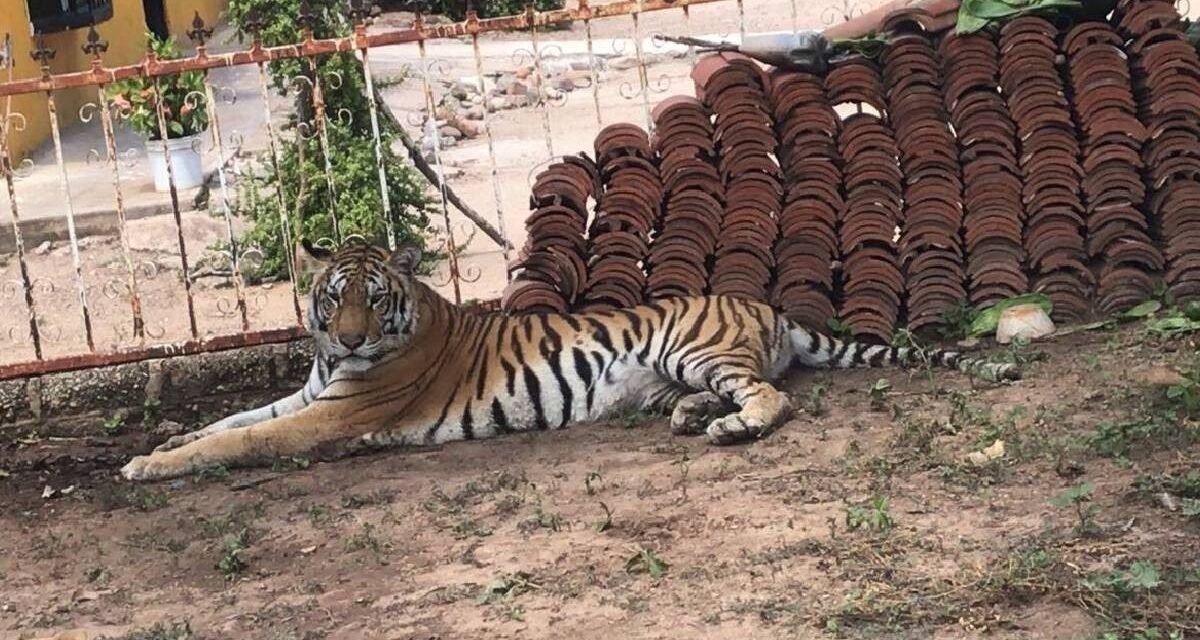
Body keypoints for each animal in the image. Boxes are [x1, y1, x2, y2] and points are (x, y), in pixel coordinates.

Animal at [117, 236, 1017, 482]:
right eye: (332, 297)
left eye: (372, 299)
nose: (346, 337)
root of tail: (767, 306)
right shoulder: (308, 394)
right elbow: (229, 419)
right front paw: (159, 445)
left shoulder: (334, 414)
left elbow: (242, 439)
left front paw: (146, 468)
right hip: (677, 371)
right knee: (736, 392)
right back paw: (695, 419)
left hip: (694, 346)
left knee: (775, 398)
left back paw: (730, 429)